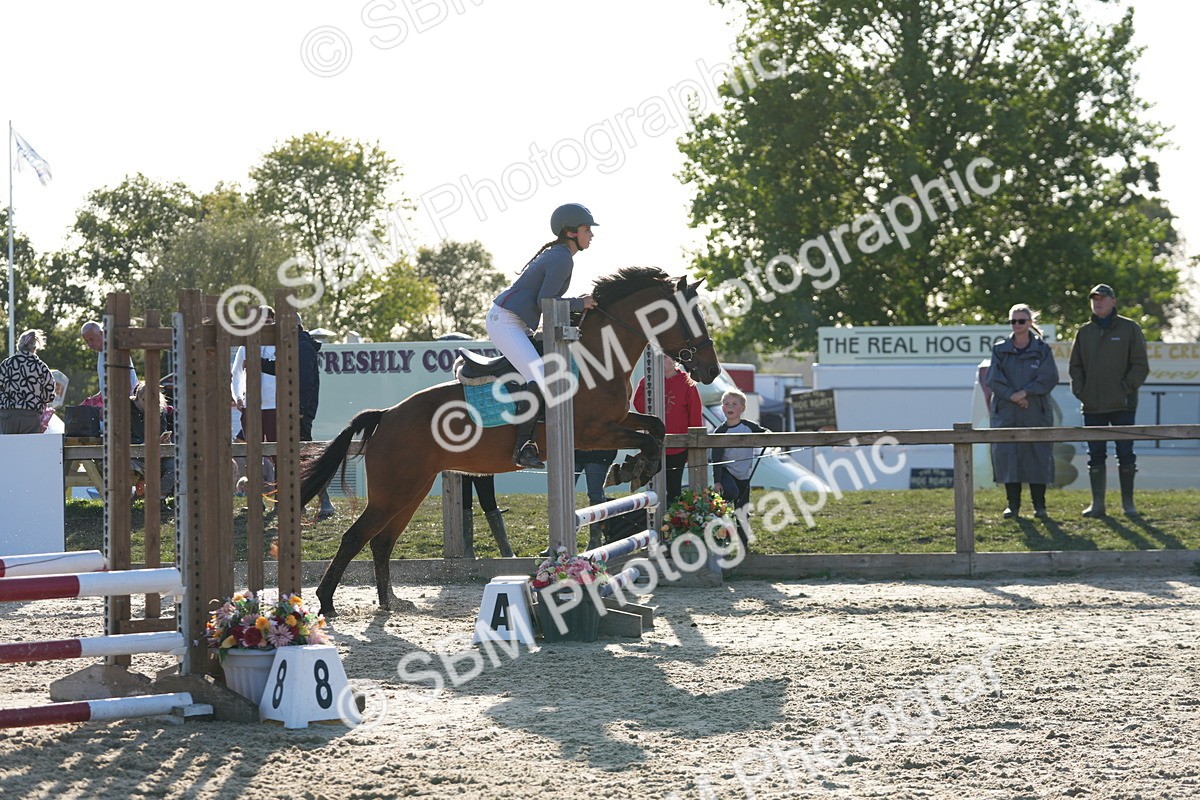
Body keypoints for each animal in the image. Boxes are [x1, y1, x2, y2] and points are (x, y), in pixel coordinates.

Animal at [299, 266, 723, 617]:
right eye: (688, 317)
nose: (711, 370)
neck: (596, 358)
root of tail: (386, 415)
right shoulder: (590, 433)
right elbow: (647, 439)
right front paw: (632, 468)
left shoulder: (617, 420)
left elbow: (656, 427)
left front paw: (633, 469)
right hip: (395, 491)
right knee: (357, 536)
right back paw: (327, 602)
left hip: (411, 490)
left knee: (381, 541)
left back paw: (390, 602)